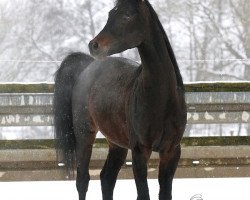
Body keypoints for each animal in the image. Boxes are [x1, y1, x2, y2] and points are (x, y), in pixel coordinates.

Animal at [55, 0, 188, 200]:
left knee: (107, 178)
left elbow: (165, 193)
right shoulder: (139, 151)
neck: (163, 100)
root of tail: (87, 66)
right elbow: (143, 194)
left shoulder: (171, 151)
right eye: (111, 13)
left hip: (116, 144)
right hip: (84, 134)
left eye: (126, 16)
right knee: (83, 180)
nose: (94, 45)